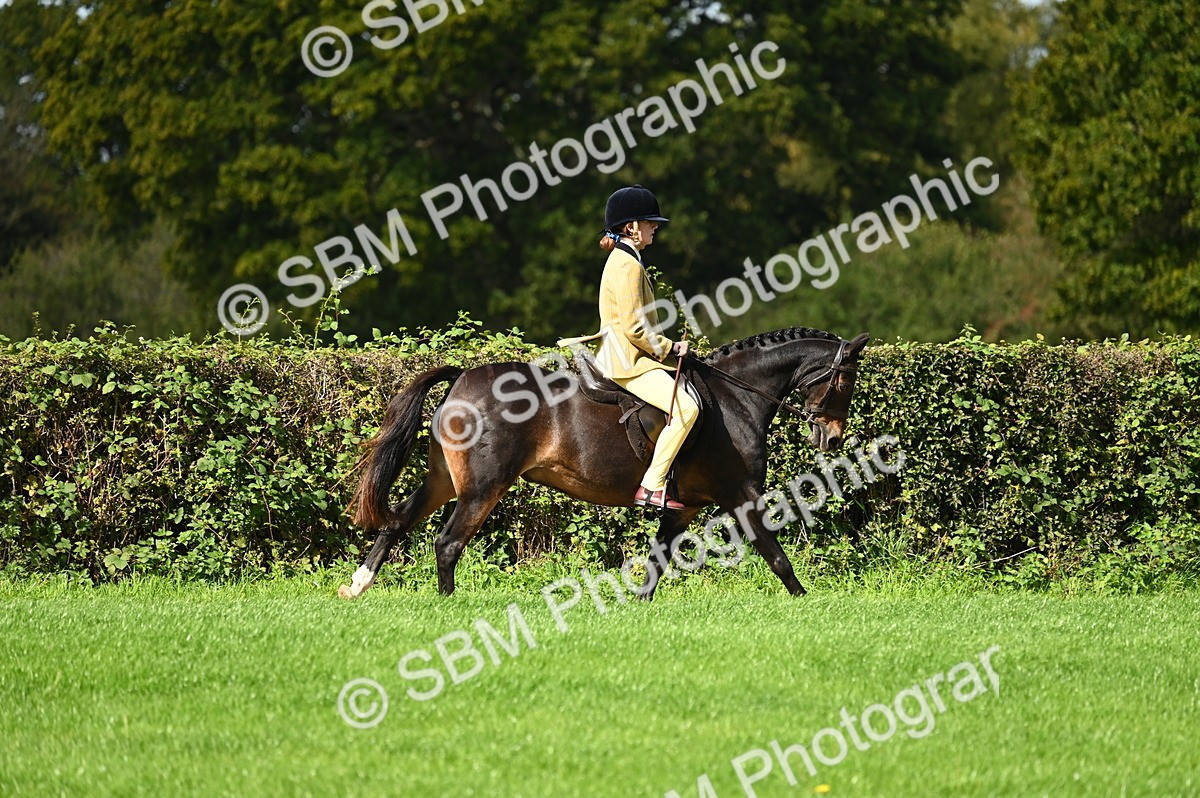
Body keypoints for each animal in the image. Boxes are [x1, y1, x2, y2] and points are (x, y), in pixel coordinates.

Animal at [339, 327, 869, 600]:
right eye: (845, 381)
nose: (831, 437)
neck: (736, 397)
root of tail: (463, 377)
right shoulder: (741, 495)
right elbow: (775, 554)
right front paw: (805, 602)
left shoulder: (684, 507)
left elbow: (658, 559)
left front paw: (639, 606)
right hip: (483, 488)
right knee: (447, 543)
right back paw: (448, 604)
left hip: (444, 481)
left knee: (398, 521)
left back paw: (358, 586)